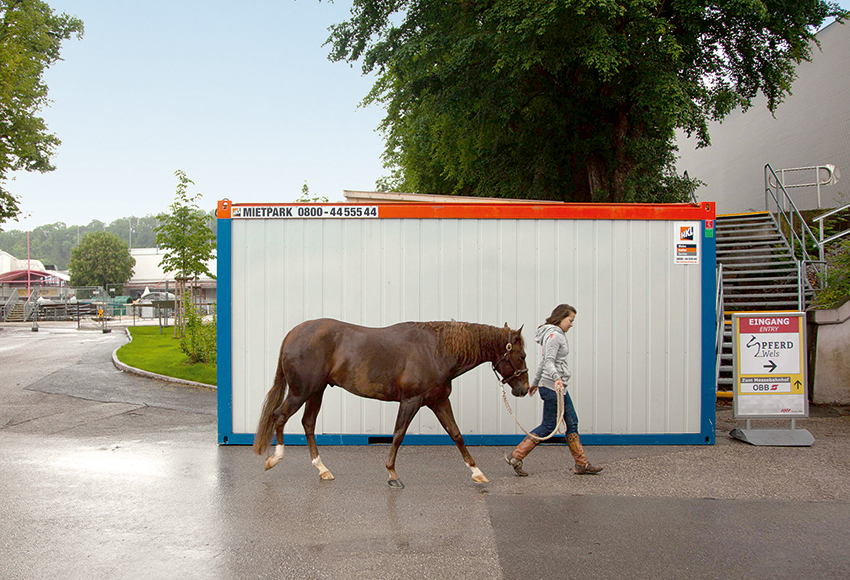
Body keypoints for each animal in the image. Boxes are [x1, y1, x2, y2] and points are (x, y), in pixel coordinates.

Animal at [253, 318, 529, 488]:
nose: (525, 389)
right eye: (522, 355)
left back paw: (322, 469)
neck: (436, 351)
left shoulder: (439, 400)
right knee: (279, 416)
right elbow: (398, 435)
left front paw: (477, 472)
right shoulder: (411, 401)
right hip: (302, 391)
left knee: (308, 423)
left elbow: (456, 434)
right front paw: (392, 474)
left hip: (316, 391)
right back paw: (274, 459)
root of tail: (292, 334)